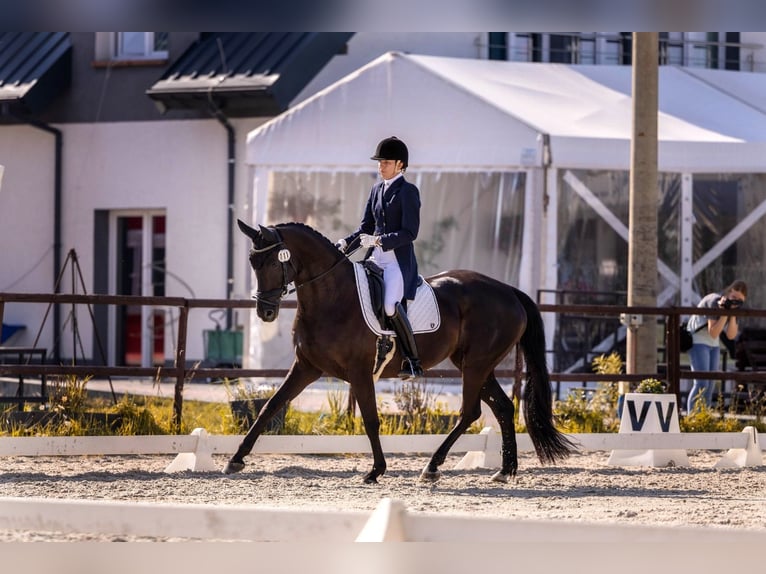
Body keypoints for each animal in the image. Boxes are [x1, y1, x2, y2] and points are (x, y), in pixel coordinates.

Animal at [224, 223, 576, 484]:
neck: (332, 298)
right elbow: (269, 407)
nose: (266, 312)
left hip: (476, 365)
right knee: (502, 407)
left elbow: (370, 419)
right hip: (474, 364)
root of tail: (510, 291)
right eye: (253, 263)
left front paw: (375, 470)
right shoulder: (307, 367)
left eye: (274, 262)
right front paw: (235, 459)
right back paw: (504, 470)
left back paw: (432, 467)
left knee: (470, 412)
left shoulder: (359, 372)